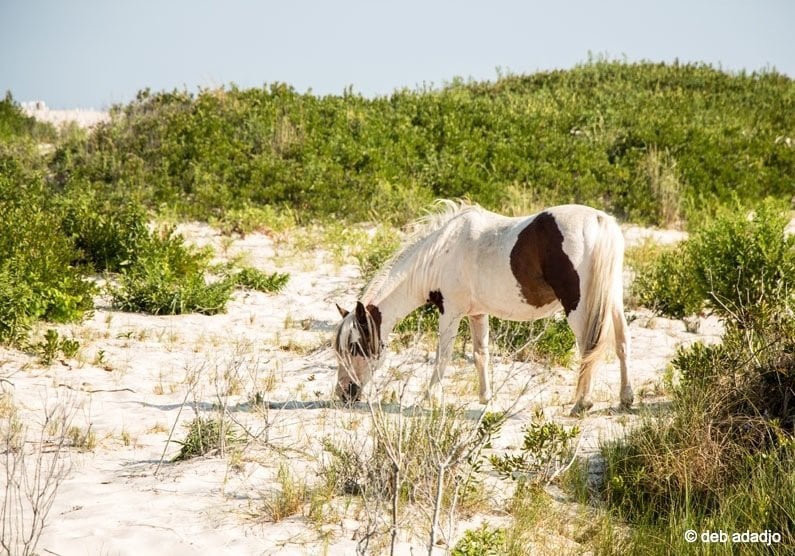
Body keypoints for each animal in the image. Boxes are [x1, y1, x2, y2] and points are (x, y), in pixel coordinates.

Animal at [332, 202, 636, 414]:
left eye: (355, 347)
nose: (343, 395)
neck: (441, 252)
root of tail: (600, 221)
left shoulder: (450, 312)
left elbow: (443, 357)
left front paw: (429, 398)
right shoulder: (477, 313)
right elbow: (481, 355)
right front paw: (485, 398)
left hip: (579, 307)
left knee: (589, 349)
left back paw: (581, 403)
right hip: (613, 299)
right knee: (622, 343)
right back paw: (625, 399)